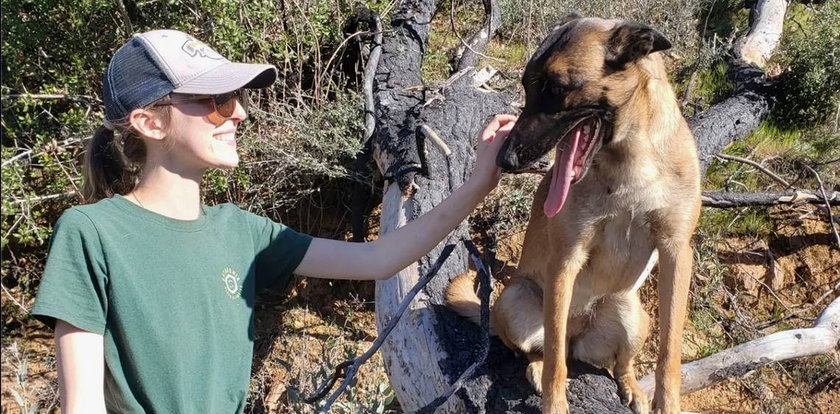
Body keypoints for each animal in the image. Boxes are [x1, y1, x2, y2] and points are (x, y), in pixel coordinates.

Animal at [446, 14, 704, 412]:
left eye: (556, 88)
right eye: (526, 87)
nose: (505, 160)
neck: (630, 160)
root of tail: (579, 334)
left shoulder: (676, 251)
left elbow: (670, 350)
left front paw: (667, 402)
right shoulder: (566, 258)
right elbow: (555, 361)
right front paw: (554, 403)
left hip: (632, 314)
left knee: (619, 361)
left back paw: (632, 386)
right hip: (515, 300)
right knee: (547, 349)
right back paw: (538, 366)